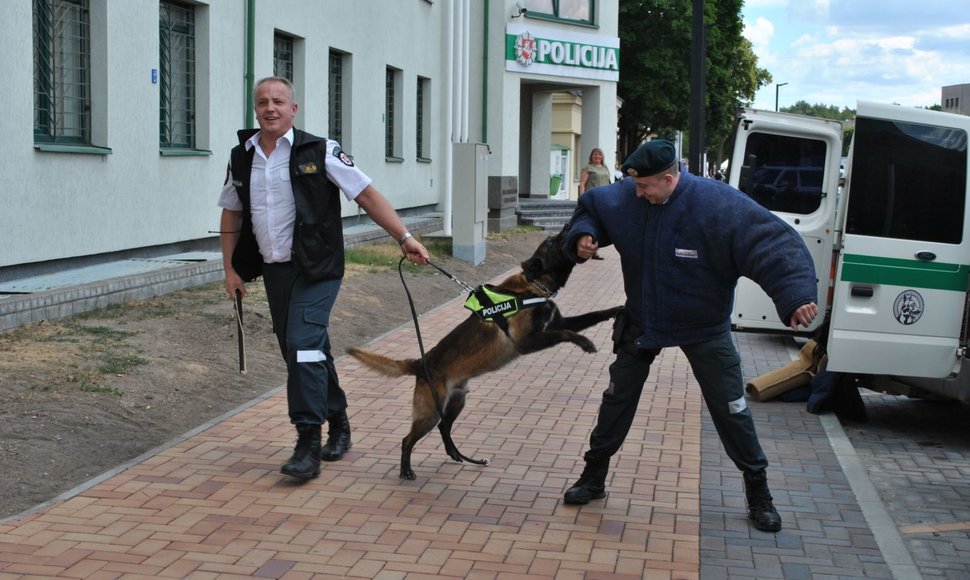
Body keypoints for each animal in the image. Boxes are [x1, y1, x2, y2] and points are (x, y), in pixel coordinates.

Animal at [348, 224, 620, 478]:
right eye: (553, 242)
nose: (568, 226)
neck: (533, 286)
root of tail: (420, 363)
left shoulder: (556, 324)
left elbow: (590, 316)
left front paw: (616, 310)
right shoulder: (526, 342)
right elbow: (565, 333)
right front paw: (584, 342)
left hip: (456, 401)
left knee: (444, 427)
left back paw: (456, 454)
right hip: (430, 412)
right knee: (409, 439)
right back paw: (406, 470)